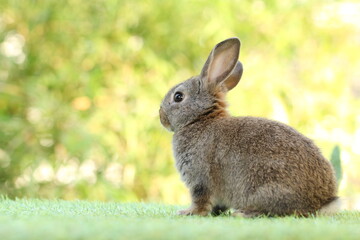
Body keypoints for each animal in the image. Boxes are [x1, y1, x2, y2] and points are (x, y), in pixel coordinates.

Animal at [158, 37, 338, 218]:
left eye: (178, 97)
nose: (161, 117)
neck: (200, 119)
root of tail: (321, 203)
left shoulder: (199, 177)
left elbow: (200, 200)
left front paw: (188, 212)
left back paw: (242, 213)